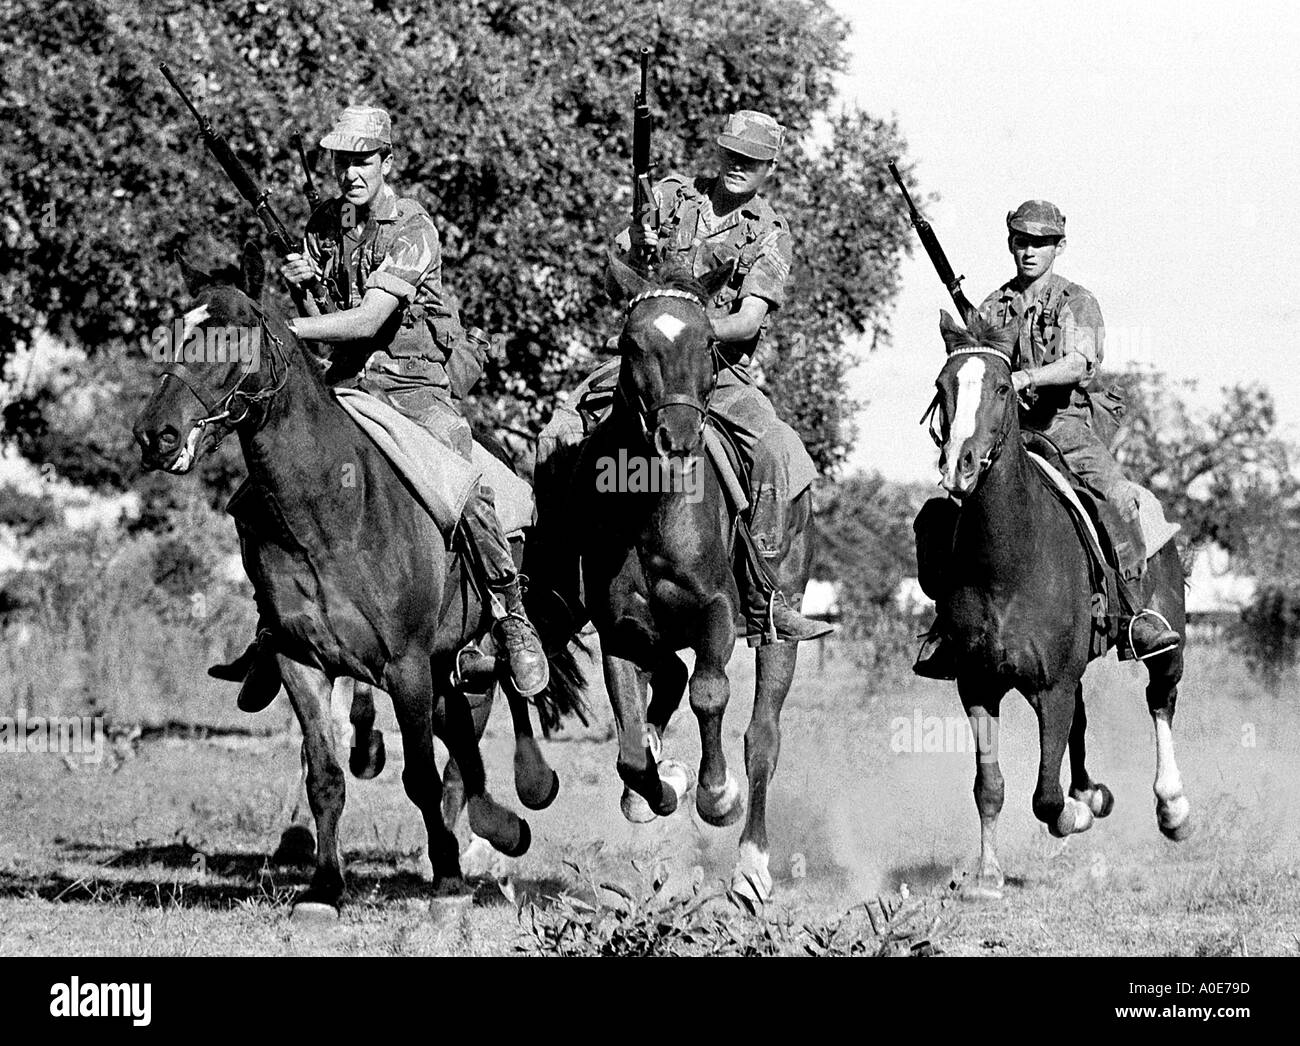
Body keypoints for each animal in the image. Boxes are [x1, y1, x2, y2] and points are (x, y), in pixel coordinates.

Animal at [131, 244, 585, 914]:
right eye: (173, 333)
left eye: (230, 335)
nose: (153, 434)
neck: (330, 511)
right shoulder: (301, 660)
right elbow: (324, 775)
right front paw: (324, 885)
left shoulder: (407, 666)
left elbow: (421, 776)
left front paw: (447, 876)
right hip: (447, 670)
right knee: (459, 748)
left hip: (469, 662)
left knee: (460, 756)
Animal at [525, 254, 811, 904]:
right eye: (630, 343)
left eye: (709, 342)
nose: (676, 438)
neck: (652, 509)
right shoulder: (619, 631)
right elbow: (631, 751)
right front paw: (662, 785)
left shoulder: (717, 613)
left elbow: (710, 693)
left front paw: (715, 795)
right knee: (671, 683)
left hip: (778, 624)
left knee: (761, 735)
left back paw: (751, 866)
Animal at [925, 307, 1190, 899]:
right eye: (942, 387)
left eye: (1003, 387)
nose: (960, 467)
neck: (1007, 563)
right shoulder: (978, 685)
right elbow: (990, 786)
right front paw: (987, 876)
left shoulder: (1051, 685)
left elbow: (1045, 798)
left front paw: (1076, 814)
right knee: (1082, 720)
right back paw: (1092, 791)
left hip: (1166, 649)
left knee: (1160, 701)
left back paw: (1172, 808)